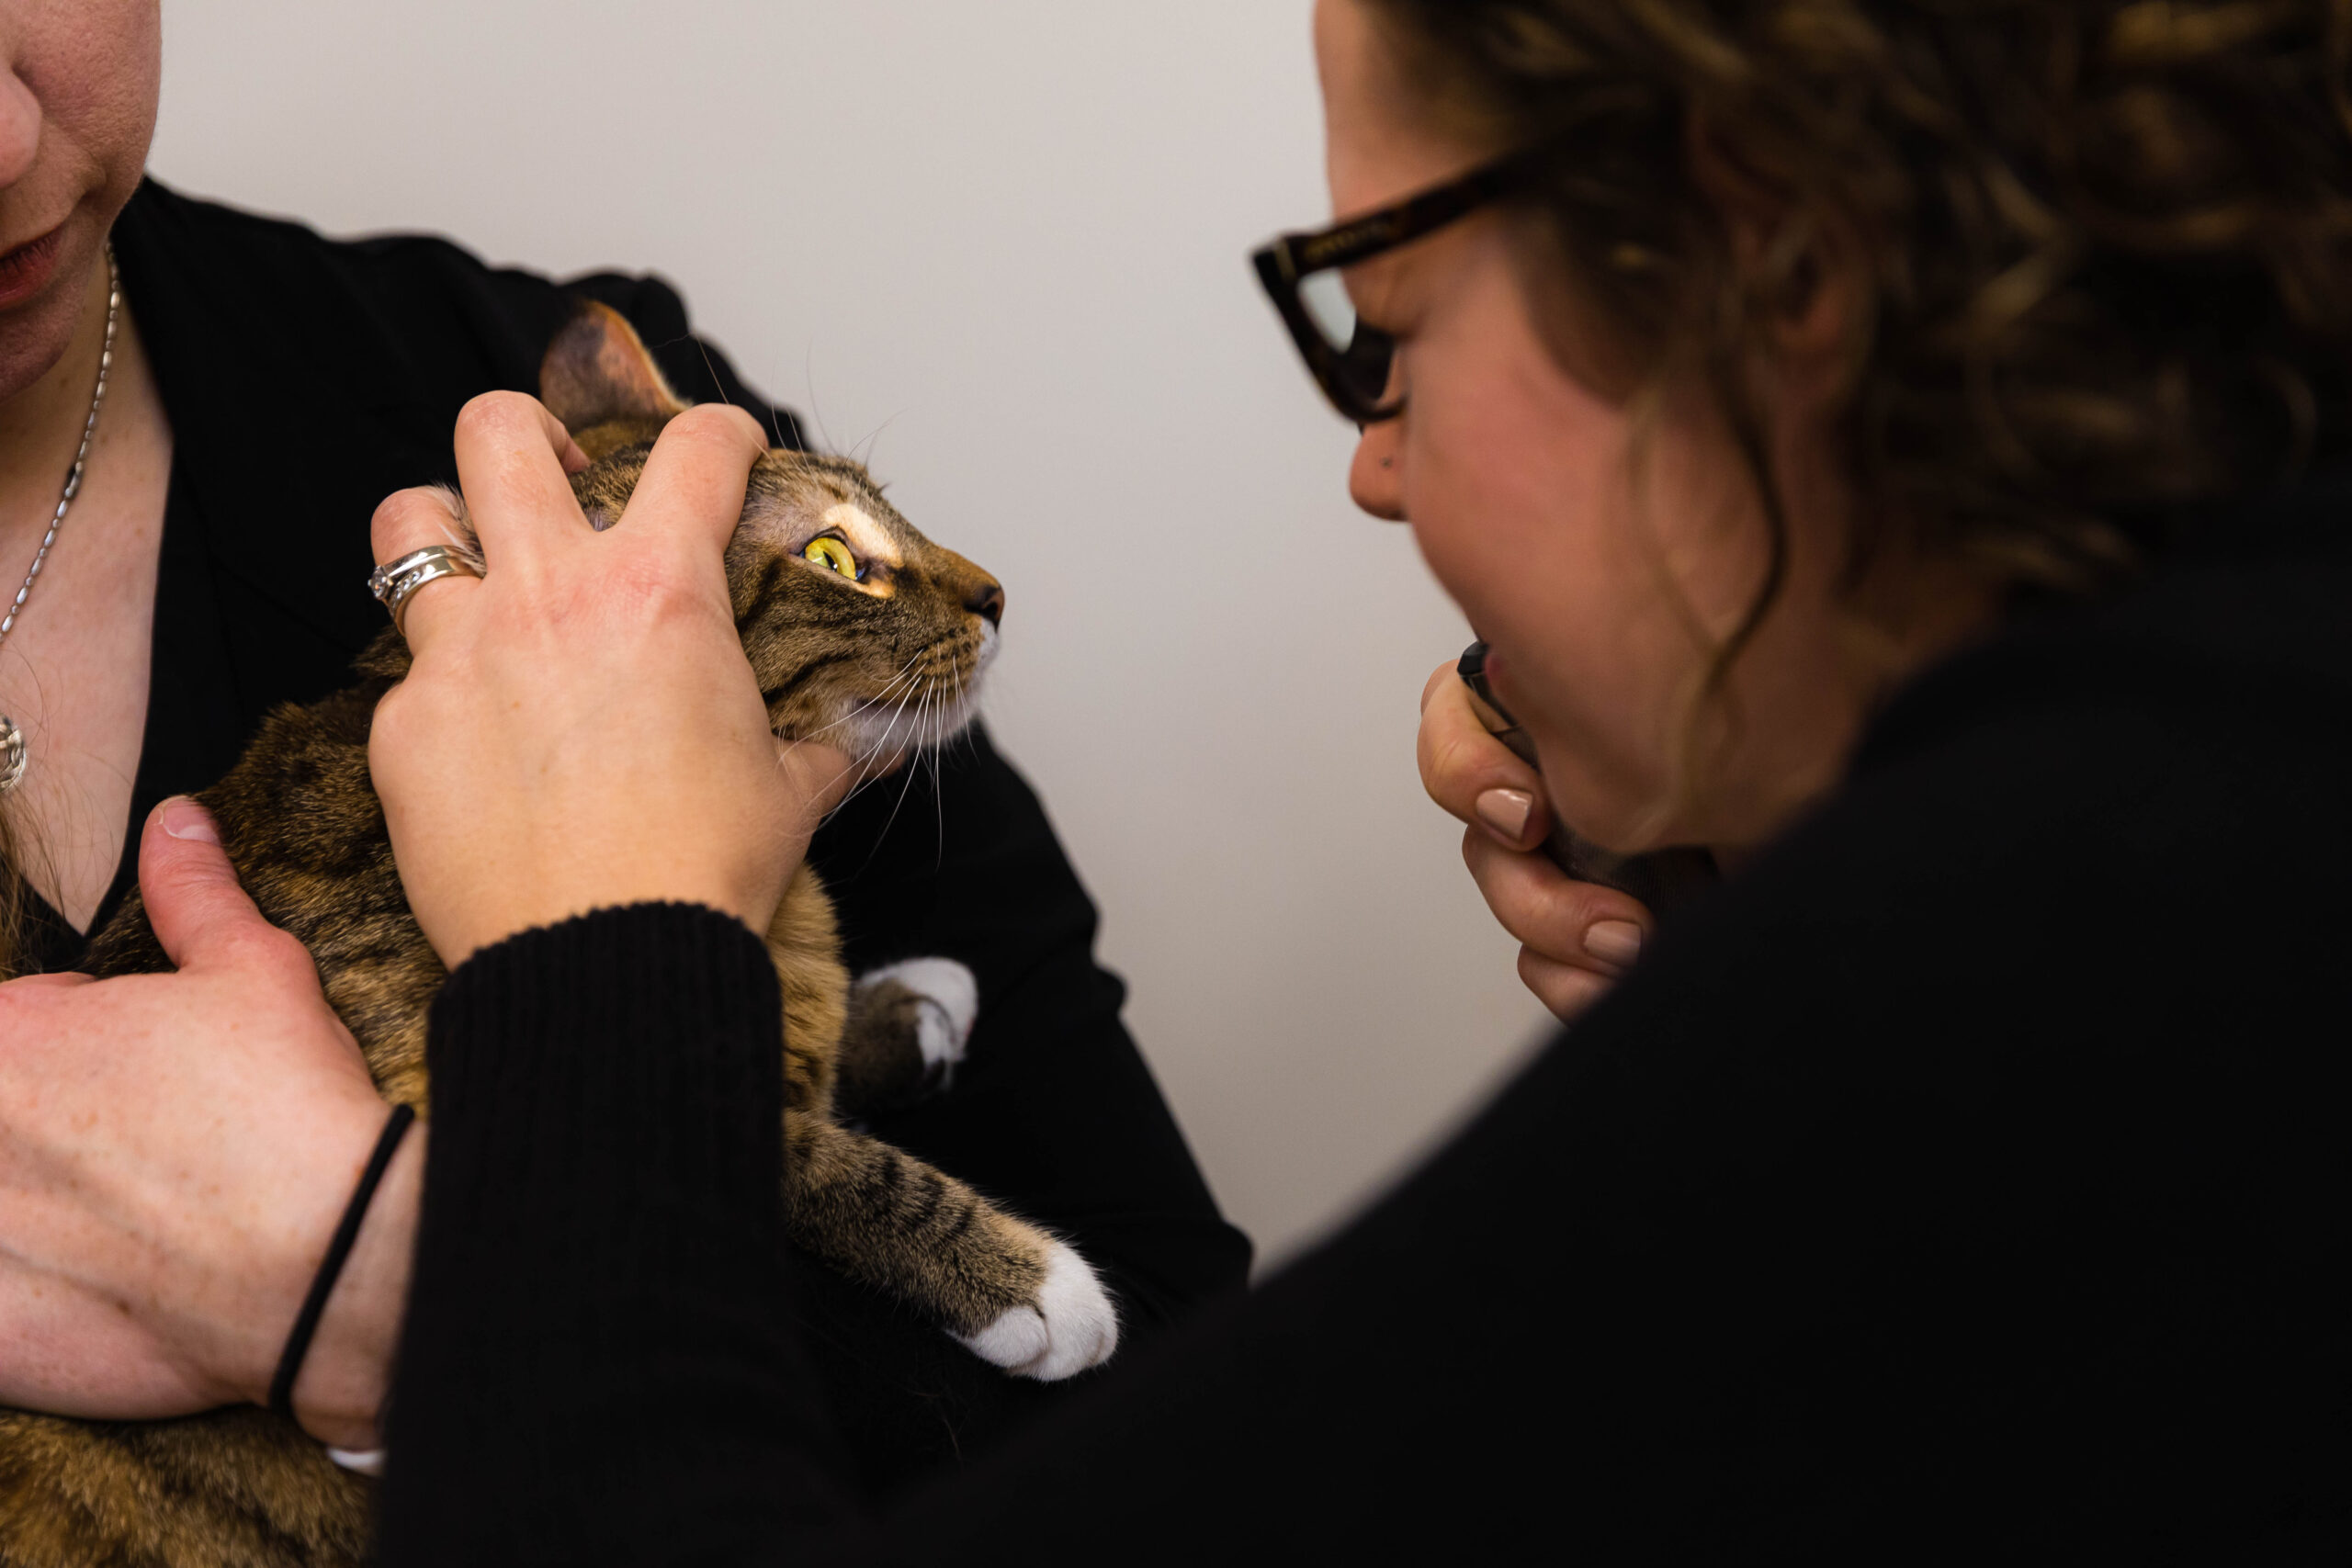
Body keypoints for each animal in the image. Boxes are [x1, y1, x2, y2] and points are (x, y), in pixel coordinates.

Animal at [0, 305, 1114, 1568]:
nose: (996, 595)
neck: (780, 892)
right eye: (835, 561)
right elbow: (812, 1150)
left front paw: (900, 1011)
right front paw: (1036, 1286)